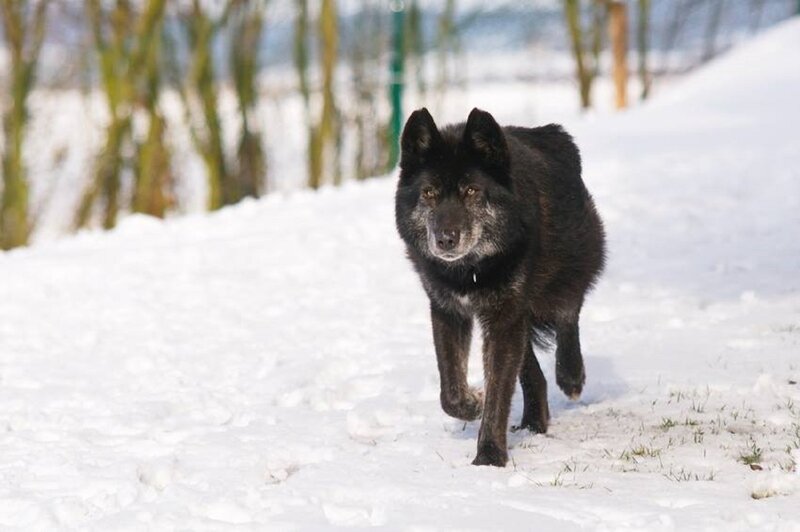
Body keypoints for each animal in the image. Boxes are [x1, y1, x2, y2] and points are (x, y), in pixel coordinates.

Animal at [395, 108, 606, 467]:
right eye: (429, 193)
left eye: (471, 191)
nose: (445, 239)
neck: (470, 271)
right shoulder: (448, 311)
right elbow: (451, 392)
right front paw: (473, 404)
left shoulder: (504, 317)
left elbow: (499, 392)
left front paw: (489, 458)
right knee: (531, 369)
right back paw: (535, 421)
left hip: (562, 277)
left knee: (568, 313)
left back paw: (571, 376)